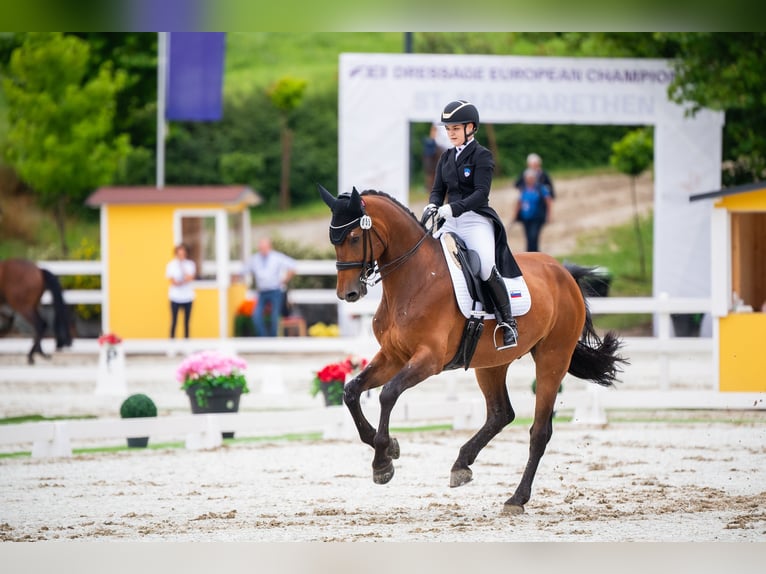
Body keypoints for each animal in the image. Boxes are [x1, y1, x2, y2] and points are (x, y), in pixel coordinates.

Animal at [320, 187, 628, 516]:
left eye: (354, 237)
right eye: (333, 240)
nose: (348, 293)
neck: (414, 278)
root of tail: (564, 272)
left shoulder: (428, 359)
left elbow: (388, 394)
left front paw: (382, 462)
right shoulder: (393, 356)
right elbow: (351, 391)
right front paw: (389, 447)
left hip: (552, 358)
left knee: (539, 431)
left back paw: (516, 498)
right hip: (492, 363)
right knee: (501, 414)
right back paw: (462, 464)